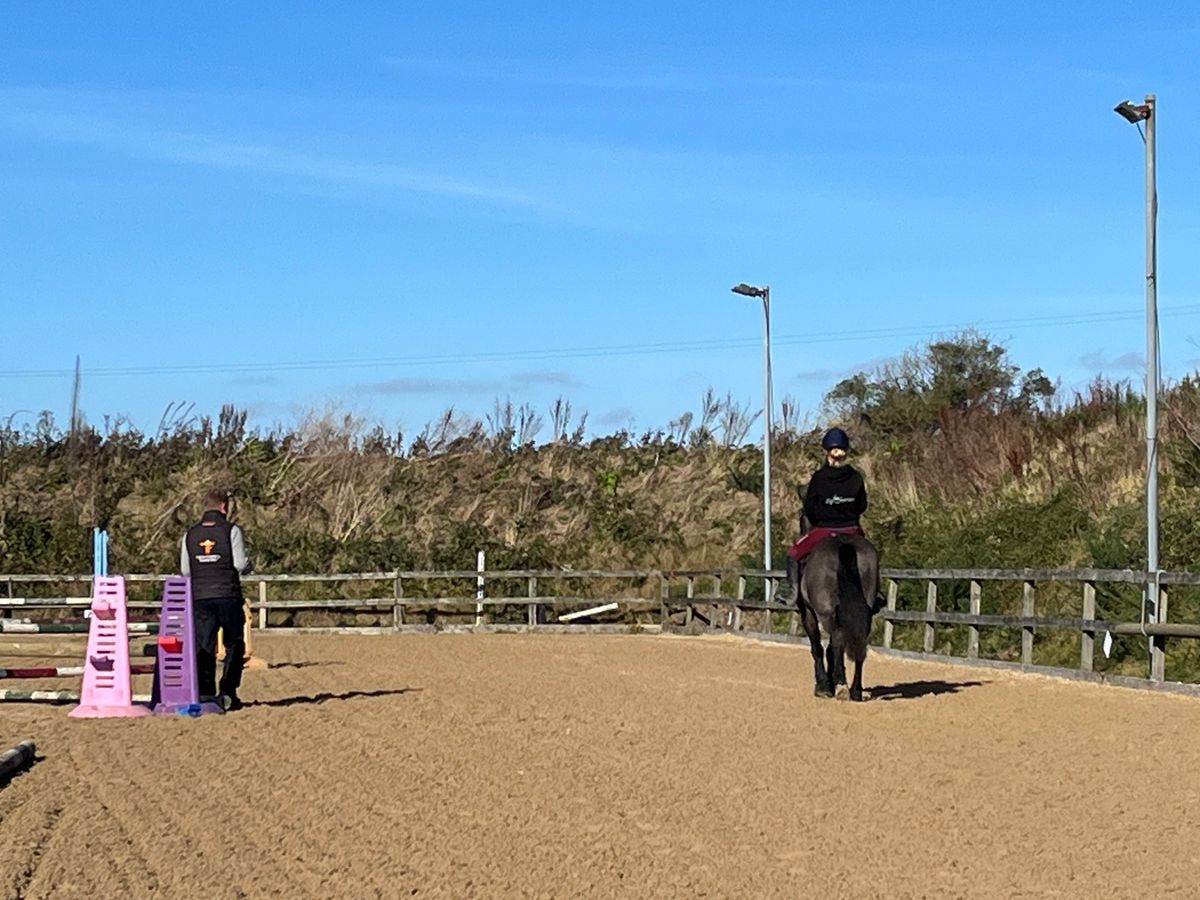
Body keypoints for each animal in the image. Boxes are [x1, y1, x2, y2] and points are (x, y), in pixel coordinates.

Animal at [796, 535, 883, 705]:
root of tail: (844, 544)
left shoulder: (809, 615)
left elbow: (818, 648)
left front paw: (824, 686)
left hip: (825, 613)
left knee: (837, 640)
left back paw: (841, 685)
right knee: (859, 646)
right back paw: (855, 690)